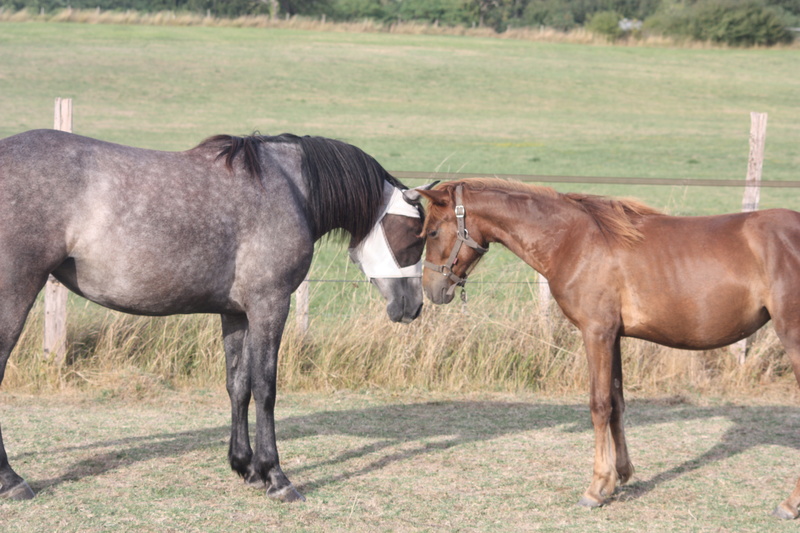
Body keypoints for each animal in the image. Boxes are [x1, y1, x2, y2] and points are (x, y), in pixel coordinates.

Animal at [0, 128, 432, 498]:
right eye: (416, 236)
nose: (414, 306)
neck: (292, 187)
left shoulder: (237, 314)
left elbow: (237, 385)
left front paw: (246, 467)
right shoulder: (270, 304)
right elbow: (265, 388)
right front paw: (276, 475)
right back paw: (12, 481)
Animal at [418, 178, 800, 516]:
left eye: (432, 232)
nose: (431, 290)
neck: (573, 241)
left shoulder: (597, 333)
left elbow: (599, 405)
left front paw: (597, 487)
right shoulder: (614, 336)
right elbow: (617, 402)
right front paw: (621, 475)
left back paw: (789, 504)